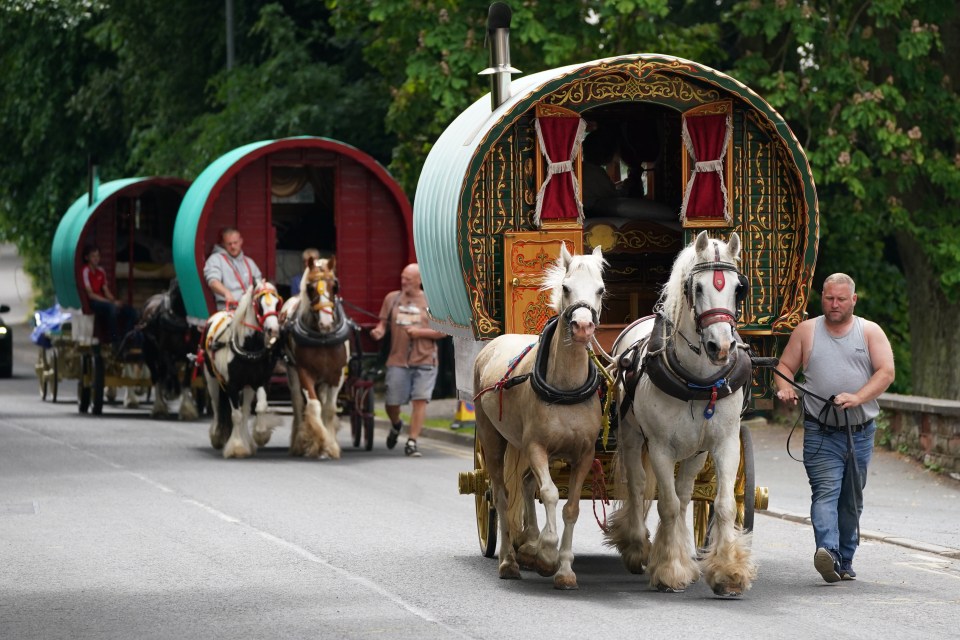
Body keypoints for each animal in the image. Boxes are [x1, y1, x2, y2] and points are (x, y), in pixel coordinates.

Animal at [201, 282, 280, 458]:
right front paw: (237, 447)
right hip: (212, 379)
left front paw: (260, 434)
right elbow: (235, 415)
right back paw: (217, 436)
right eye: (259, 303)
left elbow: (260, 407)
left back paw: (247, 441)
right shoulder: (232, 385)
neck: (249, 348)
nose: (273, 330)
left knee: (245, 411)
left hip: (248, 386)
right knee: (216, 407)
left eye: (277, 302)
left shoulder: (260, 381)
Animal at [280, 256, 350, 460]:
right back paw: (298, 442)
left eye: (335, 286)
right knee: (297, 403)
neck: (323, 338)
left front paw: (330, 446)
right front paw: (319, 439)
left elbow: (329, 409)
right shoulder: (304, 372)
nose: (326, 323)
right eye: (310, 288)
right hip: (292, 373)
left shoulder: (337, 375)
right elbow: (313, 406)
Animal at [474, 244, 608, 592]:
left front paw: (565, 569)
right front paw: (547, 552)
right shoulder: (537, 447)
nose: (583, 327)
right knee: (502, 495)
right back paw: (510, 559)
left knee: (525, 483)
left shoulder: (584, 454)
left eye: (600, 289)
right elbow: (548, 494)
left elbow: (571, 507)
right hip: (493, 439)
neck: (566, 387)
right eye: (566, 287)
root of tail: (493, 344)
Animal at [608, 230, 756, 596]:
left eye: (738, 288)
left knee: (687, 492)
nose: (721, 347)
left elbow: (723, 504)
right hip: (632, 437)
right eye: (697, 288)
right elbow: (667, 504)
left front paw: (728, 571)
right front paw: (670, 569)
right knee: (638, 485)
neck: (698, 381)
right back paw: (637, 546)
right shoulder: (660, 447)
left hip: (695, 452)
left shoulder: (725, 443)